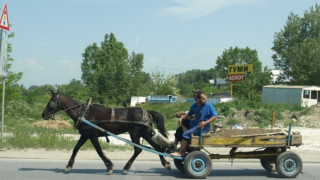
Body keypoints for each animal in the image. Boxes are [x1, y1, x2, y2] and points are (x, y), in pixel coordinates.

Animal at [42, 91, 172, 174]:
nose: (43, 114)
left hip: (135, 133)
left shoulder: (92, 135)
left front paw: (109, 166)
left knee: (138, 149)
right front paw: (69, 165)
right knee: (157, 147)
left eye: (51, 102)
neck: (84, 113)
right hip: (145, 133)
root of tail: (146, 111)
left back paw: (126, 167)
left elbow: (99, 151)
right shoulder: (85, 135)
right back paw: (165, 163)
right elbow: (76, 148)